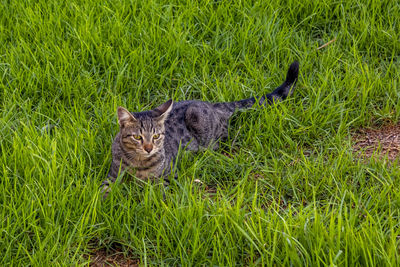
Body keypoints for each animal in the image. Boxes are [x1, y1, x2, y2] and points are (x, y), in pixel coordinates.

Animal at [101, 62, 298, 197]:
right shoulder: (113, 174)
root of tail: (213, 104)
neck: (139, 163)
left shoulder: (167, 175)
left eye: (156, 136)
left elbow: (157, 192)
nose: (149, 148)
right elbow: (103, 189)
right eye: (137, 137)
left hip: (199, 120)